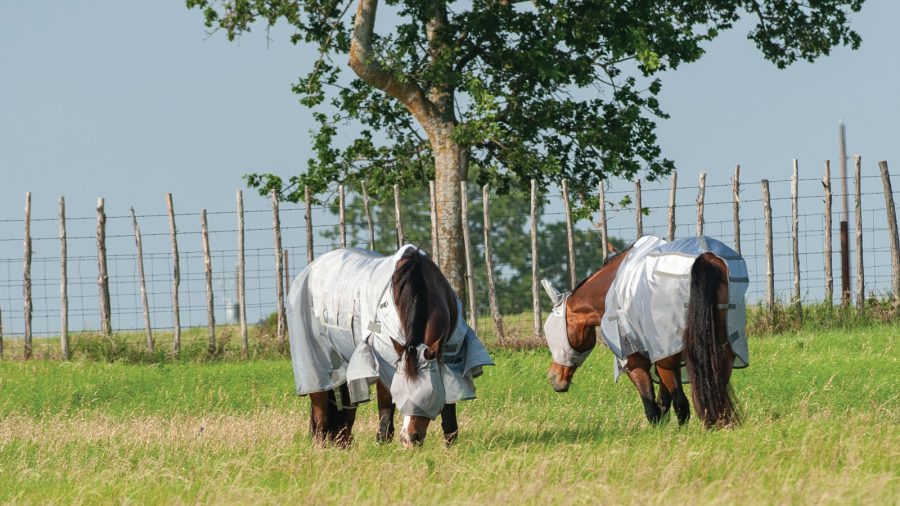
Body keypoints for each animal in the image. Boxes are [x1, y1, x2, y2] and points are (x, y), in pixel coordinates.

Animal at [286, 245, 492, 448]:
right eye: (400, 391)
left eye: (429, 393)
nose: (410, 438)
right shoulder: (384, 362)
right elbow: (385, 411)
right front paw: (383, 442)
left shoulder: (448, 361)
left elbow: (449, 412)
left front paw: (451, 446)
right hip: (317, 369)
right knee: (320, 414)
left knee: (345, 411)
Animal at [542, 235, 749, 428]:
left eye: (552, 332)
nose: (553, 378)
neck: (613, 286)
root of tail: (705, 257)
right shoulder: (662, 357)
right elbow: (663, 401)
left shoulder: (636, 360)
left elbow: (651, 406)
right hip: (720, 349)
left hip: (668, 359)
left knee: (681, 403)